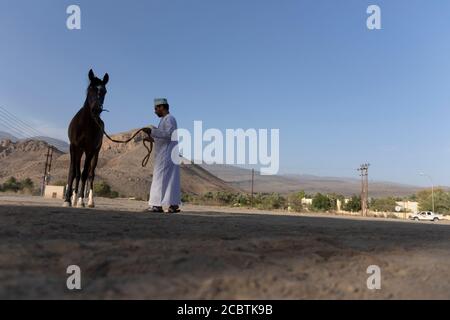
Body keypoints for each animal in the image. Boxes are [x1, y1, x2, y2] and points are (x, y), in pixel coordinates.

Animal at [62, 69, 108, 208]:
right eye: (90, 88)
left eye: (104, 91)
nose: (96, 109)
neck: (85, 124)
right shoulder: (74, 147)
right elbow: (73, 172)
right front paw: (68, 200)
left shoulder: (90, 150)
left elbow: (85, 174)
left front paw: (81, 200)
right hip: (79, 151)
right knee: (77, 173)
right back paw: (73, 198)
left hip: (95, 153)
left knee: (90, 174)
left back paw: (90, 201)